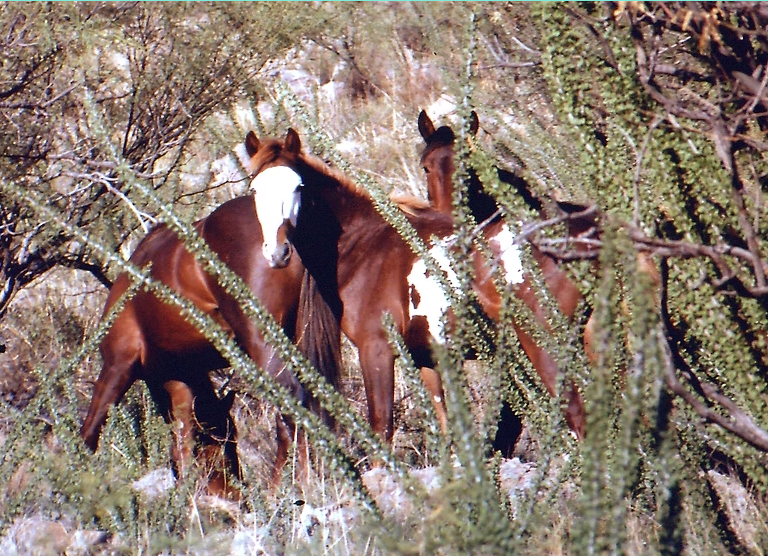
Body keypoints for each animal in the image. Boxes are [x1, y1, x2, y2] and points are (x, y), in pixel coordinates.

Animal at [80, 164, 342, 498]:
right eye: (228, 439)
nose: (232, 493)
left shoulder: (118, 365)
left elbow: (90, 432)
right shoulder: (181, 380)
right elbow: (183, 442)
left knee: (293, 408)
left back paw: (288, 490)